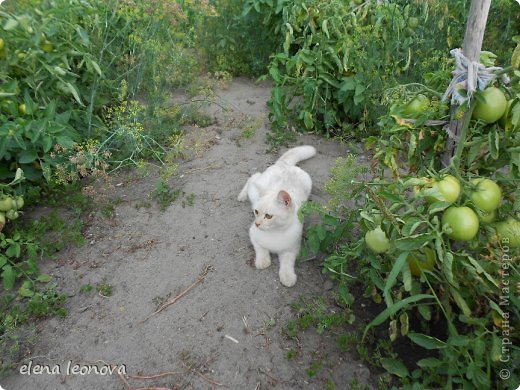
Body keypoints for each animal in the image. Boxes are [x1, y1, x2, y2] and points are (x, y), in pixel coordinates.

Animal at [238, 145, 314, 286]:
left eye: (268, 216)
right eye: (256, 212)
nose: (257, 223)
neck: (275, 232)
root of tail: (285, 165)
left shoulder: (292, 249)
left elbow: (287, 263)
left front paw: (287, 277)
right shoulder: (253, 235)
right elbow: (261, 250)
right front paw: (263, 261)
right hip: (255, 189)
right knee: (253, 177)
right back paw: (242, 195)